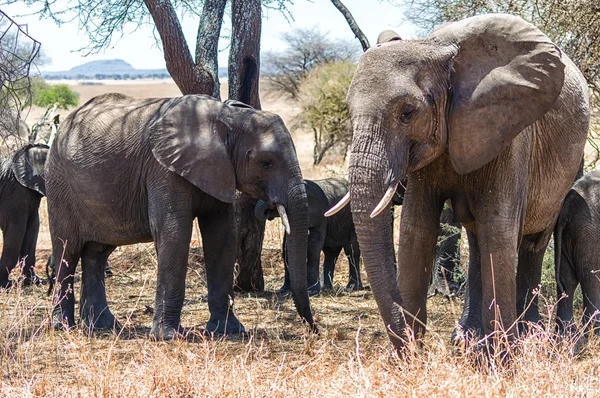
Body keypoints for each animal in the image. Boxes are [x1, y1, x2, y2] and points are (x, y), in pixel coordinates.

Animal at [45, 94, 316, 338]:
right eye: (266, 163)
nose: (313, 329)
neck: (226, 116)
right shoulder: (163, 170)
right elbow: (174, 233)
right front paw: (168, 336)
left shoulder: (220, 171)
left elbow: (221, 236)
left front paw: (230, 331)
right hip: (59, 186)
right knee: (67, 251)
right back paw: (63, 327)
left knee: (97, 253)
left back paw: (105, 326)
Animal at [328, 14, 584, 350]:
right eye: (348, 111)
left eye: (407, 112)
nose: (414, 348)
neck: (438, 51)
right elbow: (416, 230)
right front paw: (411, 355)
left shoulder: (509, 129)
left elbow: (499, 229)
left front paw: (502, 357)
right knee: (477, 240)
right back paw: (468, 339)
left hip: (569, 168)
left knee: (532, 240)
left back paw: (528, 337)